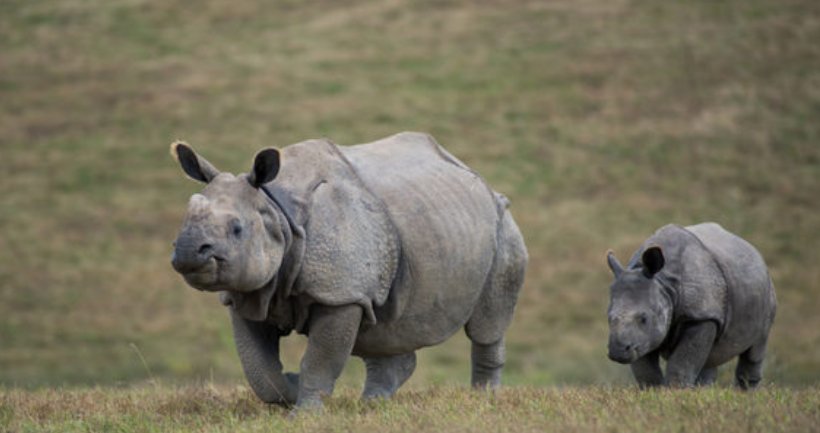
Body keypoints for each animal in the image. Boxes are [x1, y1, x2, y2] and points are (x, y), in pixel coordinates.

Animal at [169, 132, 527, 408]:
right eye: (186, 217)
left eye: (237, 229)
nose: (187, 252)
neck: (277, 212)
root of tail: (478, 177)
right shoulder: (249, 292)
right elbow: (260, 370)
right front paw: (290, 388)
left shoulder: (340, 294)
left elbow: (320, 357)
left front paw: (306, 412)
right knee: (382, 327)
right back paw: (373, 404)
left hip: (501, 224)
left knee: (488, 323)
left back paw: (483, 399)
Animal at [605, 223, 776, 389]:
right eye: (609, 318)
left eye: (643, 319)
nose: (618, 351)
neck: (664, 283)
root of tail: (755, 252)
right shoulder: (642, 338)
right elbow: (645, 367)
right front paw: (653, 391)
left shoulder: (701, 315)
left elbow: (684, 360)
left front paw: (675, 391)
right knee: (710, 358)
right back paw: (705, 390)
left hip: (766, 292)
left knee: (756, 347)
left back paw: (744, 392)